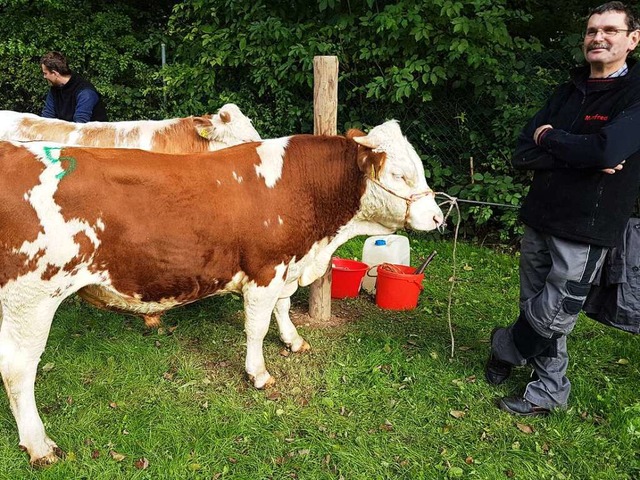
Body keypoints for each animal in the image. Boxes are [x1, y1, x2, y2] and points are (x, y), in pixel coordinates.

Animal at [0, 120, 442, 464]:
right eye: (400, 175)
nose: (438, 217)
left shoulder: (286, 264)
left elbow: (283, 308)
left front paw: (293, 340)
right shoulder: (265, 269)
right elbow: (257, 326)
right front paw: (258, 373)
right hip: (31, 298)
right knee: (18, 370)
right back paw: (39, 445)